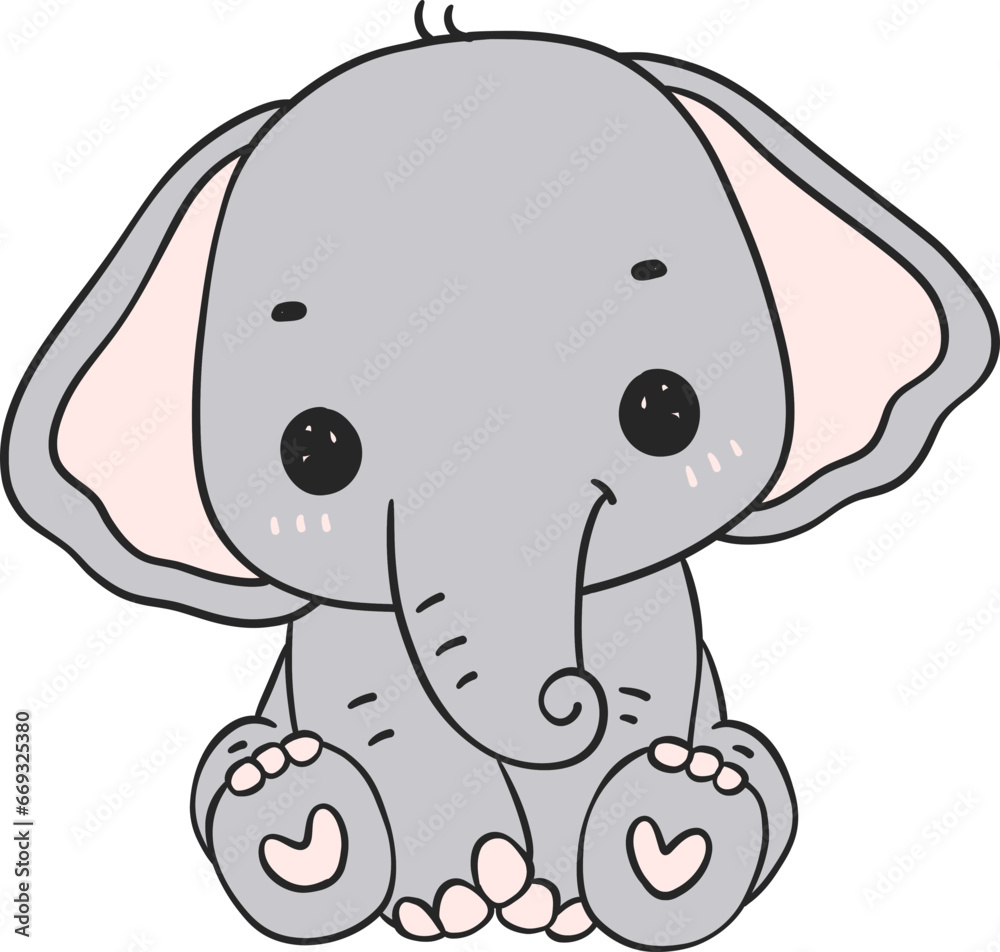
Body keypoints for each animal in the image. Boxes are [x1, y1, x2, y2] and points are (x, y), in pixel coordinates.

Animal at [3, 6, 996, 949]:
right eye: (312, 452)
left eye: (666, 411)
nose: (568, 697)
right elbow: (384, 721)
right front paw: (450, 904)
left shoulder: (648, 609)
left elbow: (634, 703)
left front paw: (555, 907)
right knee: (241, 770)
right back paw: (288, 804)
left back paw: (691, 803)